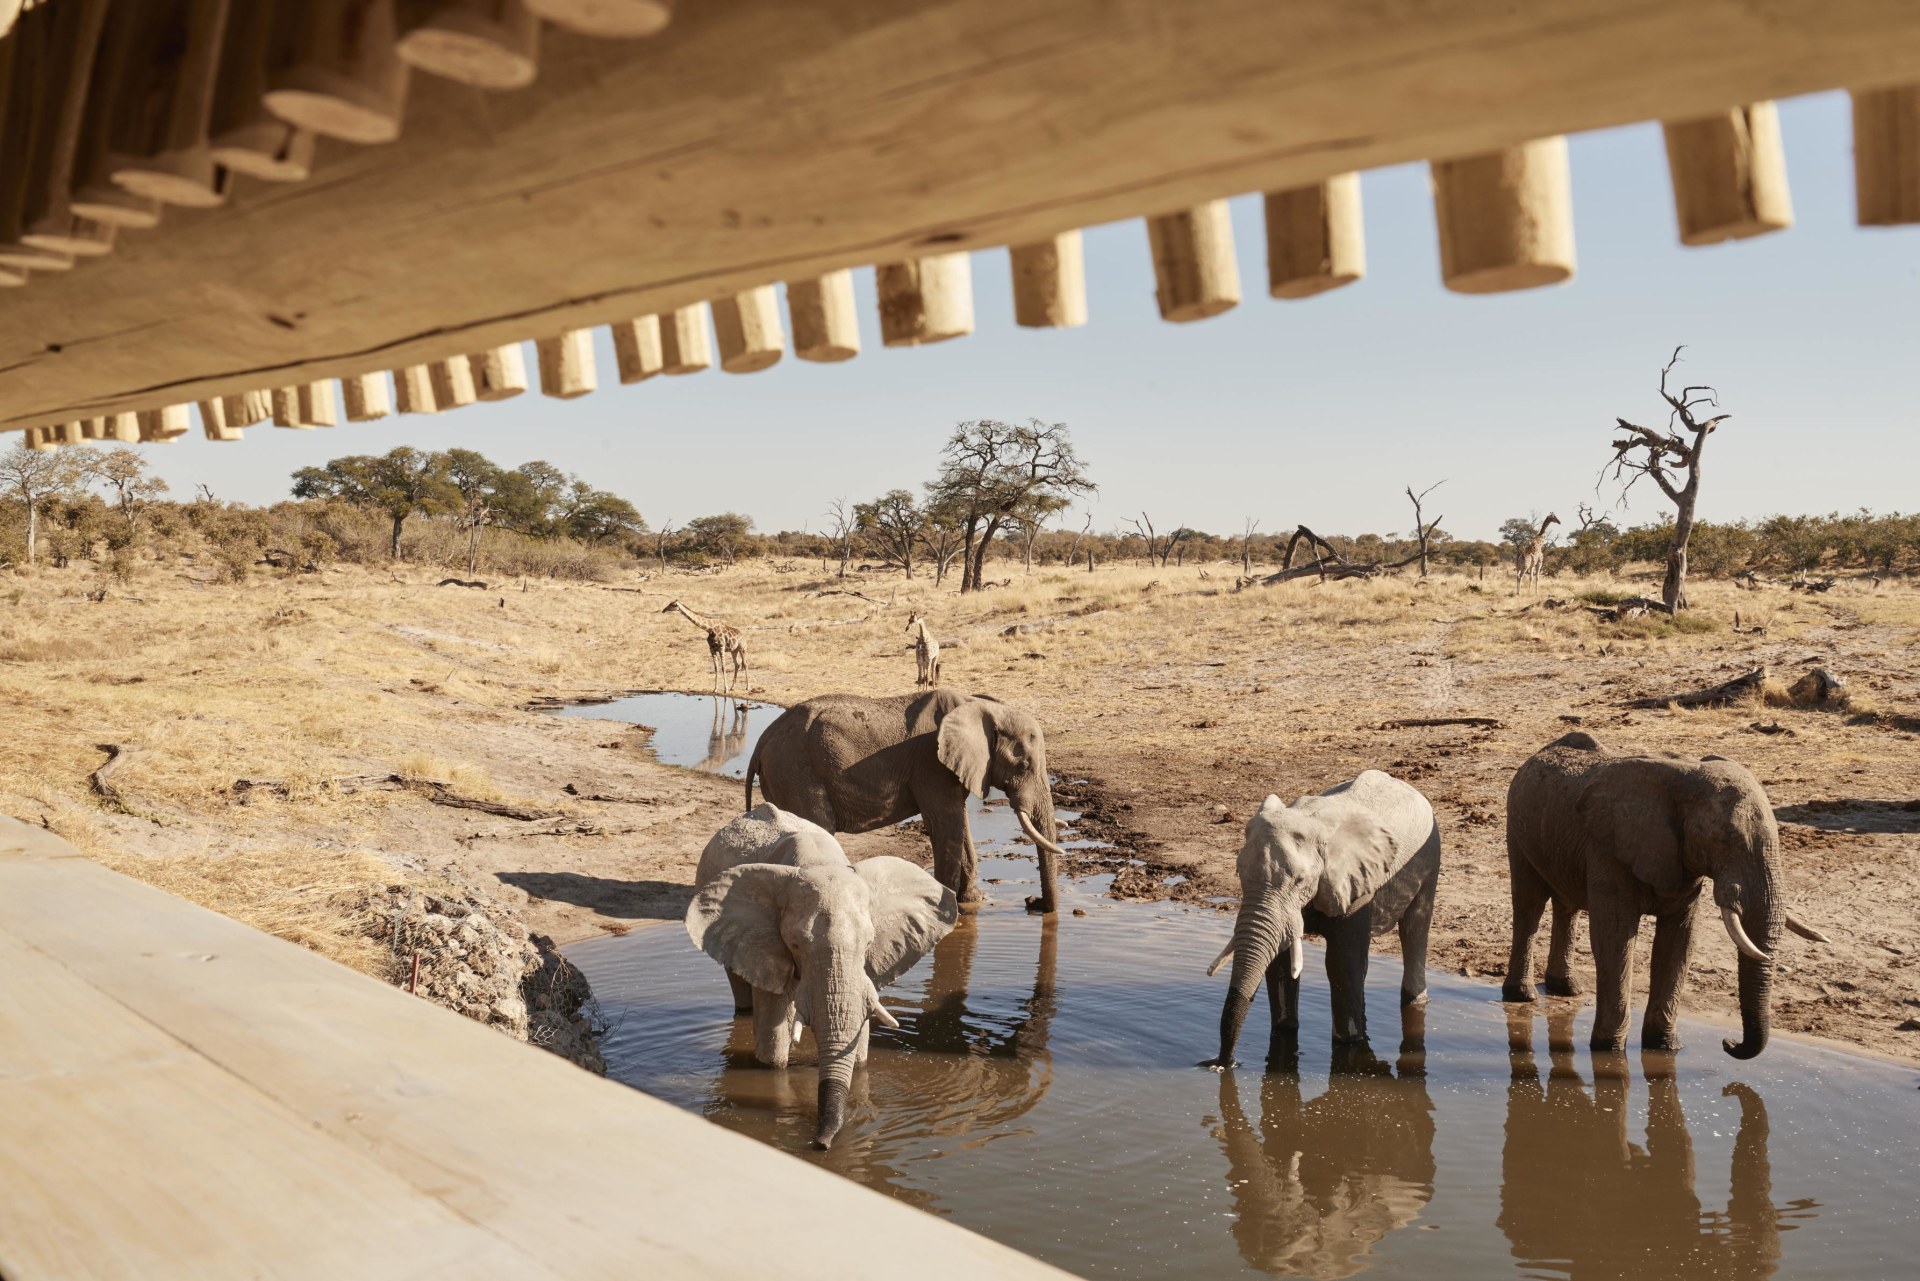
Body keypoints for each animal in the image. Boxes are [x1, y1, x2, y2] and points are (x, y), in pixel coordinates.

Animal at [687, 802, 960, 1152]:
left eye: (869, 943)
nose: (820, 1144)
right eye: (795, 944)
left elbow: (859, 1039)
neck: (818, 863)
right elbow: (773, 1041)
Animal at [741, 695, 1067, 918]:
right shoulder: (931, 764)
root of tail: (760, 743)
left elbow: (960, 826)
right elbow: (946, 825)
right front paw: (950, 910)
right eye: (1023, 766)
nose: (1033, 903)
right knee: (817, 829)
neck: (978, 706)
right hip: (795, 771)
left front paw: (971, 901)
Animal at [1198, 775, 1443, 1067]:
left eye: (1300, 880)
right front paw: (1284, 1030)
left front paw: (1348, 1044)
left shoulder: (1355, 884)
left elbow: (1341, 962)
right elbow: (1280, 962)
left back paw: (1415, 1000)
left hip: (1431, 854)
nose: (1223, 1063)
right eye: (1238, 872)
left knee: (1415, 928)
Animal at [1497, 737, 1827, 1060]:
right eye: (1724, 839)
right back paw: (1522, 995)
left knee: (1567, 905)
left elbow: (1679, 941)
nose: (1728, 1043)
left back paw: (1567, 989)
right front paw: (1609, 1052)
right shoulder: (1610, 849)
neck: (1687, 778)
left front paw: (1665, 1048)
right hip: (1517, 828)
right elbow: (1615, 937)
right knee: (1529, 905)